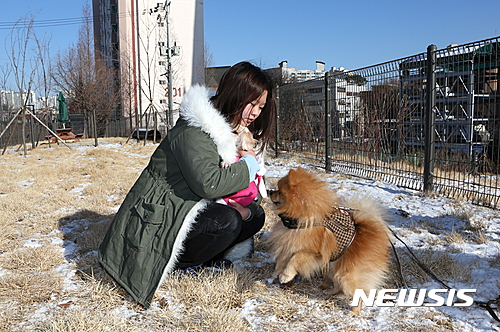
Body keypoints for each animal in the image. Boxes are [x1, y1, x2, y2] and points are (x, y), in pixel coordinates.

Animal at [268, 167, 392, 316]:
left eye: (280, 192)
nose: (269, 191)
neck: (303, 220)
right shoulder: (289, 243)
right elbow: (282, 259)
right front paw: (276, 273)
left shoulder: (312, 253)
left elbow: (295, 259)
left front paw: (285, 276)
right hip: (335, 265)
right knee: (337, 283)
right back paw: (329, 291)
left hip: (349, 273)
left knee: (357, 291)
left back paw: (354, 312)